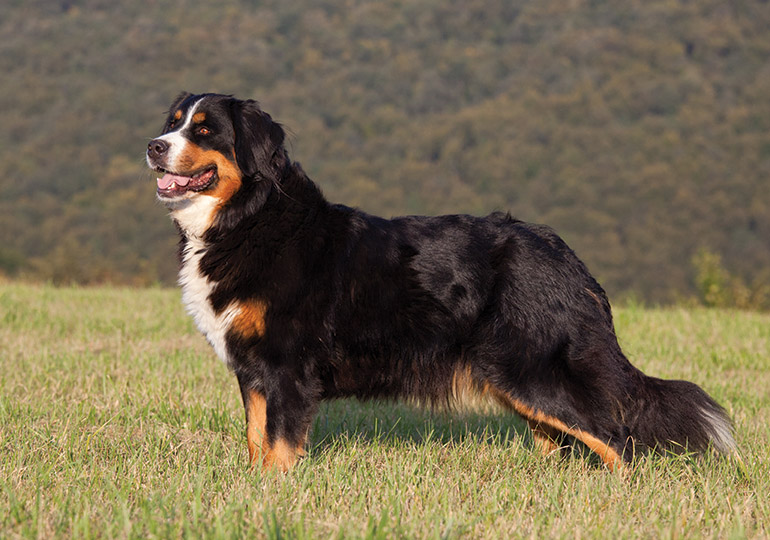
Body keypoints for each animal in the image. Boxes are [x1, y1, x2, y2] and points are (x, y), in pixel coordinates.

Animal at [147, 94, 736, 472]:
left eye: (204, 131)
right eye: (173, 122)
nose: (153, 145)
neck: (250, 216)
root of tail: (563, 252)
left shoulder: (288, 365)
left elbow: (279, 443)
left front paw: (274, 492)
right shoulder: (253, 368)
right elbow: (255, 437)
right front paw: (252, 489)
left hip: (531, 368)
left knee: (615, 437)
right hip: (516, 377)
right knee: (561, 439)